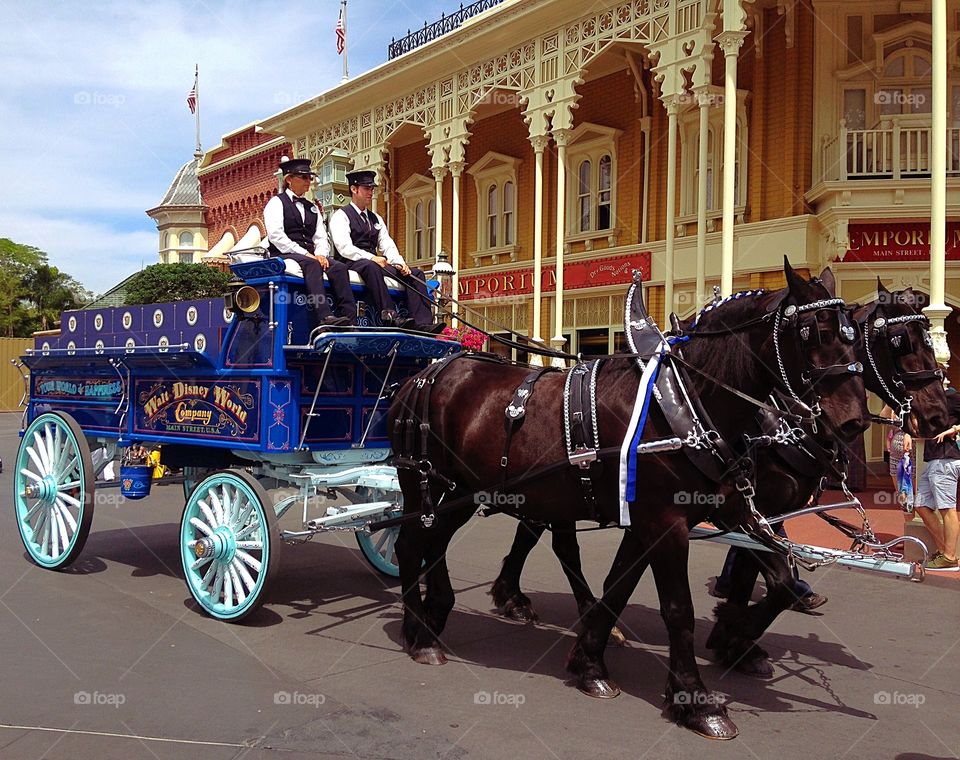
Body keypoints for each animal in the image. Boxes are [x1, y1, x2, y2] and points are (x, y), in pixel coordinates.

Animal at [386, 260, 868, 736]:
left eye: (855, 337)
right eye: (814, 333)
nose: (854, 422)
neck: (681, 402)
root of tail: (421, 376)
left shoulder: (667, 519)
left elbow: (620, 587)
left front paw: (592, 664)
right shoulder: (666, 524)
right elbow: (678, 608)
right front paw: (697, 699)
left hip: (462, 492)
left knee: (435, 543)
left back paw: (435, 615)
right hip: (425, 485)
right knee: (410, 545)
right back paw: (420, 633)